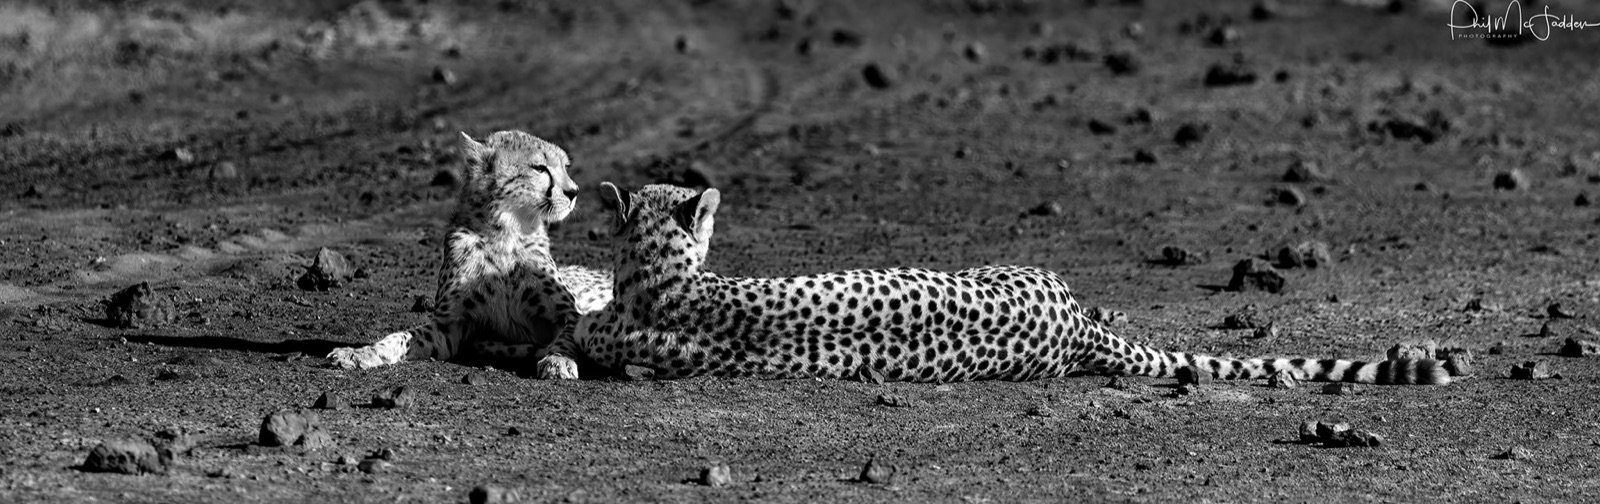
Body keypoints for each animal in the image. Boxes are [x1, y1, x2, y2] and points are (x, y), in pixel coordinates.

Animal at [326, 130, 611, 370]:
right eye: (539, 168)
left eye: (565, 167)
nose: (574, 192)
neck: (506, 231)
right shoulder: (449, 325)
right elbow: (401, 337)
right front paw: (361, 352)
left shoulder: (571, 314)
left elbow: (566, 338)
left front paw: (558, 360)